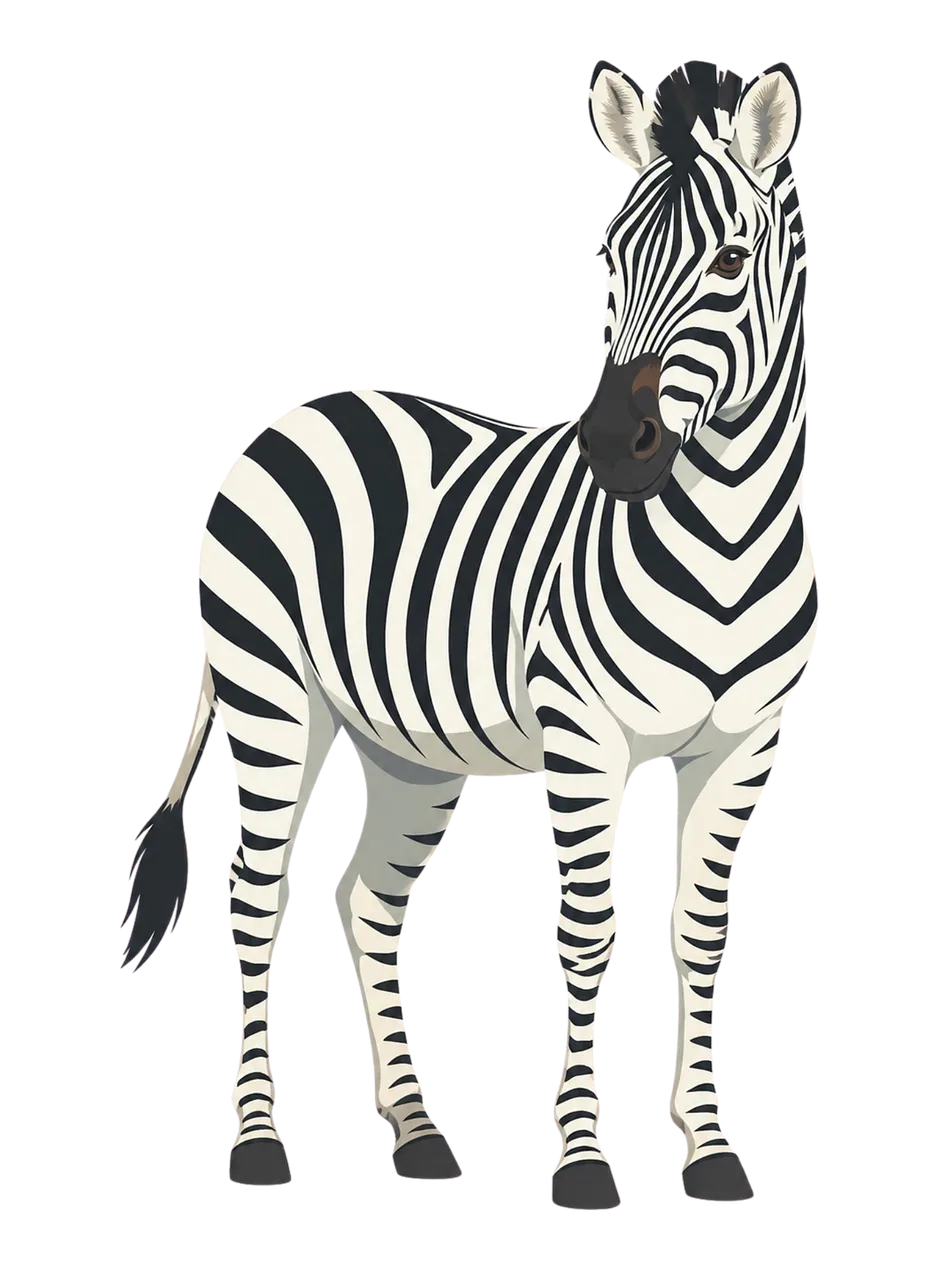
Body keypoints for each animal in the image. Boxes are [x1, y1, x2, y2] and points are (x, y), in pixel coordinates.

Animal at [120, 58, 818, 1211]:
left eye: (729, 261)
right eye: (612, 258)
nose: (613, 447)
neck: (720, 536)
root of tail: (289, 418)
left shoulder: (741, 746)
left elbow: (699, 934)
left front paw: (712, 1153)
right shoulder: (585, 738)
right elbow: (588, 931)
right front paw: (581, 1163)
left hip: (411, 750)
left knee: (364, 899)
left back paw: (415, 1134)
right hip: (273, 701)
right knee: (256, 898)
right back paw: (261, 1145)